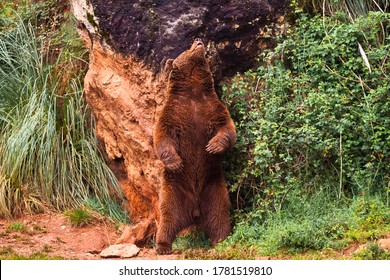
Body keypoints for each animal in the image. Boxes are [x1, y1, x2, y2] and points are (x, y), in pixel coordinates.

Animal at [154, 38, 236, 255]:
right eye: (186, 48)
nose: (198, 39)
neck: (194, 92)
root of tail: (195, 213)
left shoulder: (214, 108)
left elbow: (227, 128)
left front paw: (212, 147)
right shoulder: (172, 113)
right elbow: (162, 137)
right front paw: (175, 162)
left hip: (214, 189)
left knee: (220, 215)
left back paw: (221, 241)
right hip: (174, 190)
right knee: (168, 217)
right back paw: (163, 246)